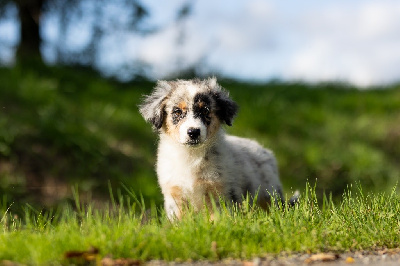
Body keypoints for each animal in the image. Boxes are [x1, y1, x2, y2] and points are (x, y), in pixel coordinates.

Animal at [141, 77, 284, 218]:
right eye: (177, 112)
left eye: (205, 110)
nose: (193, 132)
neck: (191, 156)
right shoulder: (175, 194)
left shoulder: (219, 192)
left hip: (270, 193)